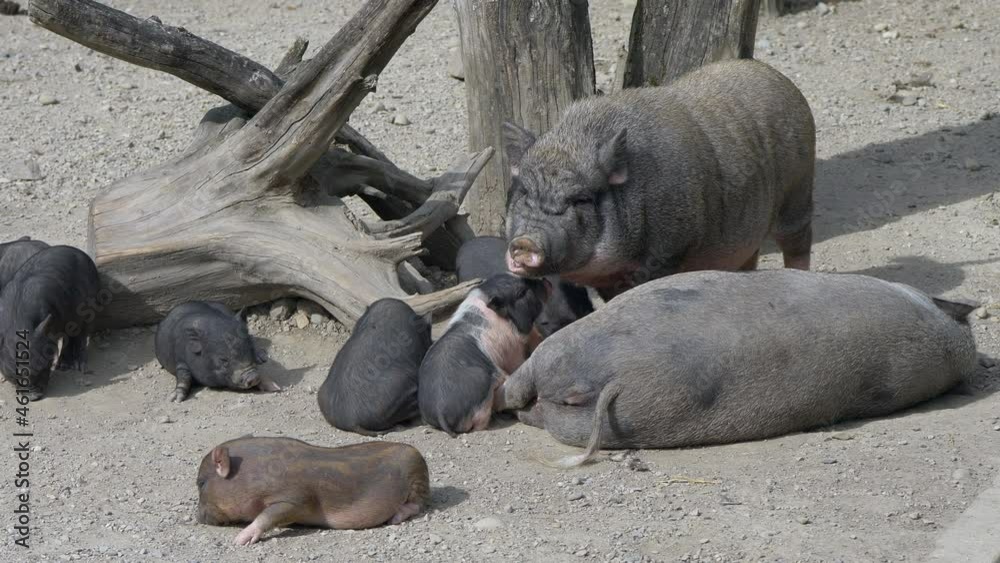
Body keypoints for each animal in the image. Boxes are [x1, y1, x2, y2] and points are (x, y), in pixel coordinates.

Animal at [0, 245, 100, 400]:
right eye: (14, 374)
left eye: (42, 366)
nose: (34, 397)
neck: (18, 320)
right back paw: (63, 367)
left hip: (90, 303)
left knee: (82, 335)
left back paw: (78, 367)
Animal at [196, 437, 429, 545]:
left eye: (200, 482)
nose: (197, 518)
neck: (249, 476)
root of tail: (416, 451)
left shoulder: (295, 500)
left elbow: (268, 515)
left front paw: (239, 541)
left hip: (417, 479)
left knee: (417, 505)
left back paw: (394, 519)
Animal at [418, 273, 548, 435]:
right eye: (521, 293)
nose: (545, 280)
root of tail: (439, 410)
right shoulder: (513, 351)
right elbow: (517, 363)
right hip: (483, 400)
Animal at [503, 59, 816, 300]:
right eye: (524, 192)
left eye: (581, 199)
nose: (525, 241)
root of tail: (780, 79)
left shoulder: (670, 251)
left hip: (798, 189)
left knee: (797, 242)